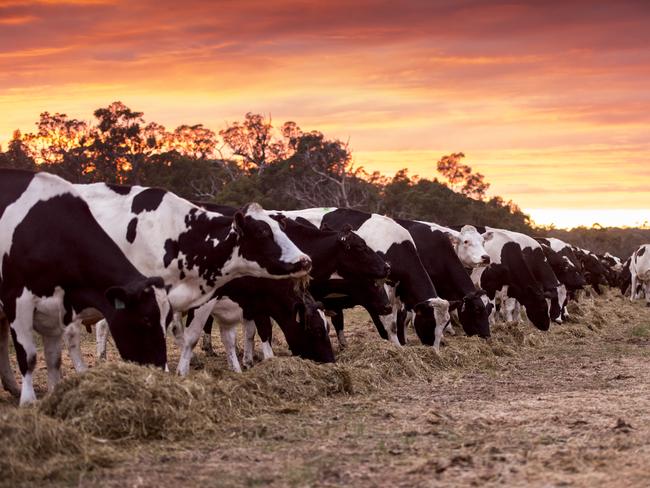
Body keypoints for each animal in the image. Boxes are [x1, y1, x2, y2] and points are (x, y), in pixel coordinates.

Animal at [0, 170, 172, 406]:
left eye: (168, 319)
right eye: (146, 319)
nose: (159, 372)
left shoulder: (56, 308)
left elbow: (54, 359)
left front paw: (54, 394)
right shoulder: (16, 300)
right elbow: (29, 356)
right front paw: (28, 401)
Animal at [276, 208, 448, 348]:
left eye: (445, 325)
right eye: (430, 322)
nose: (435, 351)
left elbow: (401, 318)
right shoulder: (381, 290)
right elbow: (390, 322)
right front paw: (396, 346)